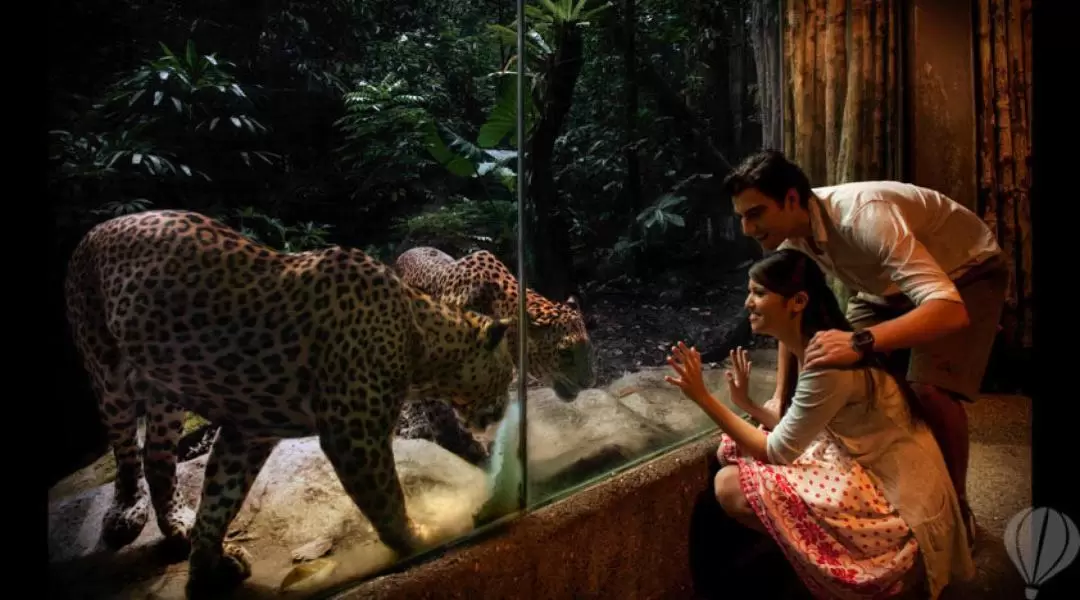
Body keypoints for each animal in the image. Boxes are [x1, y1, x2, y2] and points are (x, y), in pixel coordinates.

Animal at [63, 208, 518, 595]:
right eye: (508, 374)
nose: (502, 408)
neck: (420, 339)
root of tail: (100, 226)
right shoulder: (353, 435)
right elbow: (386, 498)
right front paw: (419, 538)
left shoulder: (248, 432)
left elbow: (219, 500)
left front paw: (209, 565)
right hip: (107, 370)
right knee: (126, 448)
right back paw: (124, 513)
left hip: (165, 390)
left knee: (158, 457)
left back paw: (178, 525)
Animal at [388, 246, 596, 466]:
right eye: (565, 353)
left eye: (588, 348)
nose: (589, 383)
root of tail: (407, 251)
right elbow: (441, 412)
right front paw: (460, 445)